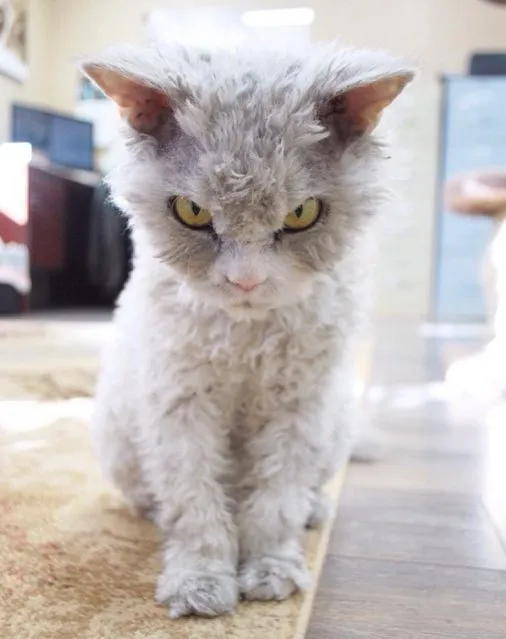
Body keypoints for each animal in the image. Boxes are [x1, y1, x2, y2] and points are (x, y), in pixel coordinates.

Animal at [82, 41, 416, 620]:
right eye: (192, 211)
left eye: (302, 213)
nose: (246, 280)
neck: (246, 339)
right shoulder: (179, 401)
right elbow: (194, 502)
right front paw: (200, 582)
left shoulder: (299, 408)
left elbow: (276, 503)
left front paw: (270, 570)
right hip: (118, 433)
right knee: (155, 495)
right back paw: (157, 514)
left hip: (335, 425)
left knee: (303, 491)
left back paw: (313, 512)